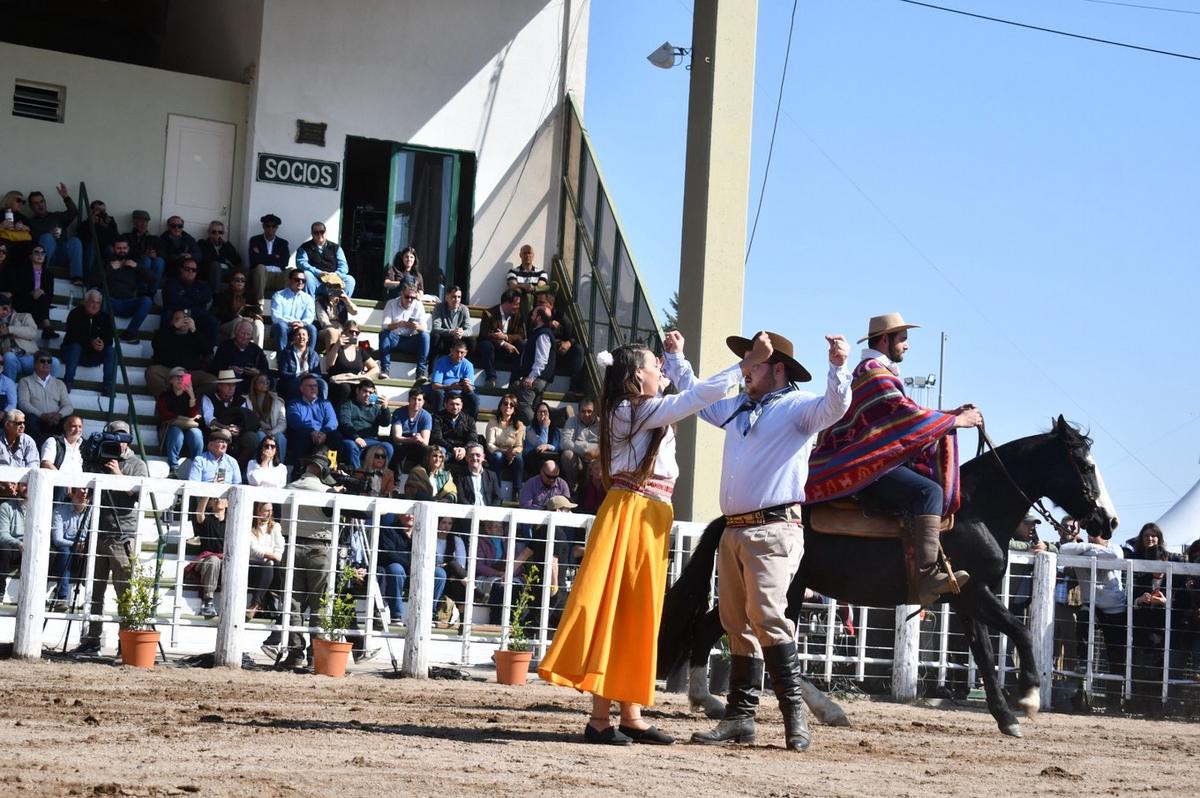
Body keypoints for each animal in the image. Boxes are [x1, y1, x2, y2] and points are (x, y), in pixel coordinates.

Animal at [657, 420, 1113, 739]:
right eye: (1086, 466)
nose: (1108, 521)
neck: (973, 508)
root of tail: (735, 518)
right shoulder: (976, 592)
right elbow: (1020, 630)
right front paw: (1030, 697)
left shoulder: (965, 600)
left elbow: (985, 656)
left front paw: (1006, 718)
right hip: (783, 588)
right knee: (727, 632)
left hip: (783, 589)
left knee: (723, 630)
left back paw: (721, 701)